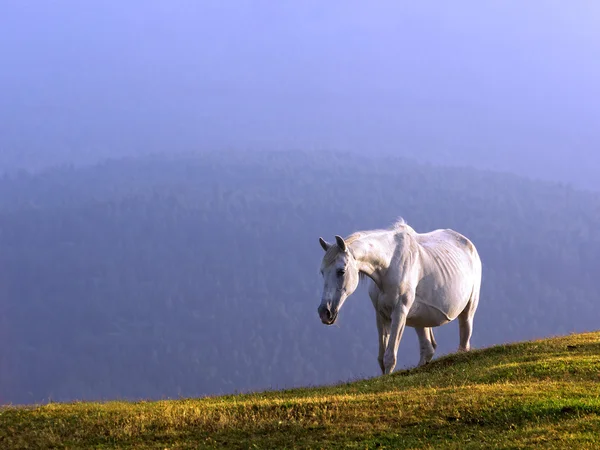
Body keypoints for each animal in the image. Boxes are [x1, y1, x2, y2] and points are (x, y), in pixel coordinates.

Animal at [318, 220, 482, 374]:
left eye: (341, 271)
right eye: (322, 272)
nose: (324, 312)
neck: (389, 265)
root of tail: (468, 244)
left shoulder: (399, 312)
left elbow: (389, 357)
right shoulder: (381, 315)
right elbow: (381, 358)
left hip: (468, 310)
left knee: (463, 342)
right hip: (420, 319)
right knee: (427, 348)